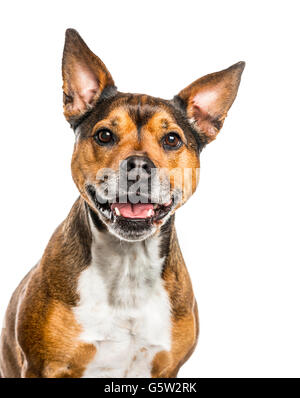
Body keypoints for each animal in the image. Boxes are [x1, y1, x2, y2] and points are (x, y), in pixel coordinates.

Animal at [0, 29, 244, 378]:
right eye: (104, 135)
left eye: (172, 139)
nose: (138, 166)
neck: (128, 264)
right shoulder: (42, 367)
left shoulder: (166, 370)